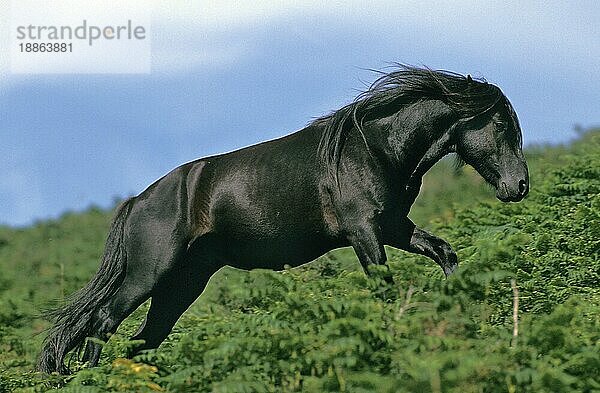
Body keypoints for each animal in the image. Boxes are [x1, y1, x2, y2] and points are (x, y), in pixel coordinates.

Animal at [37, 66, 528, 372]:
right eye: (501, 125)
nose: (519, 186)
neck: (375, 148)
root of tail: (137, 201)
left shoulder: (392, 227)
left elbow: (445, 252)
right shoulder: (365, 232)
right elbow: (384, 289)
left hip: (184, 281)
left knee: (144, 338)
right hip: (149, 273)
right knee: (103, 322)